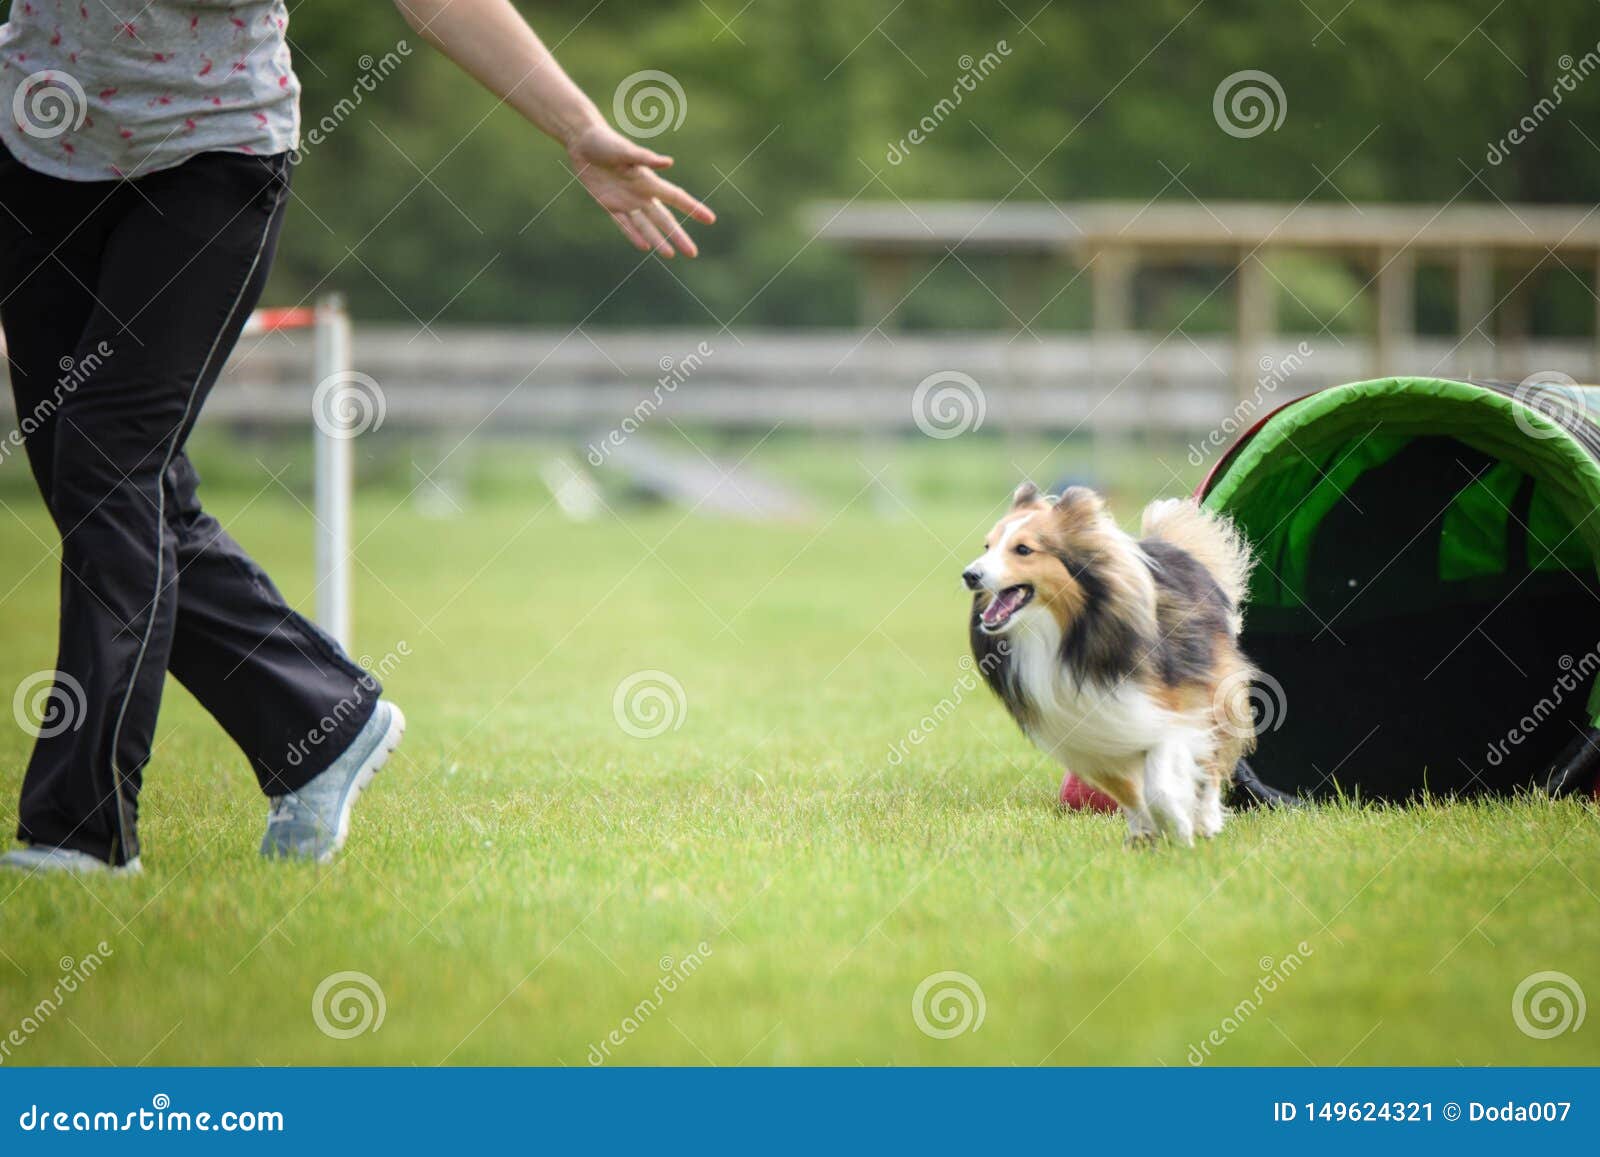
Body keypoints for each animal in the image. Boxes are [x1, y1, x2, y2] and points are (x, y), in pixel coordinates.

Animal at [960, 483, 1260, 844]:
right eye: (987, 546)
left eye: (1023, 549)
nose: (970, 575)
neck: (1059, 635)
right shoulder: (1089, 734)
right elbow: (1127, 791)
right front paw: (1145, 833)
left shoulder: (1169, 709)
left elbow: (1161, 782)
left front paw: (1177, 824)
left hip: (1214, 691)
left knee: (1213, 761)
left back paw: (1207, 819)